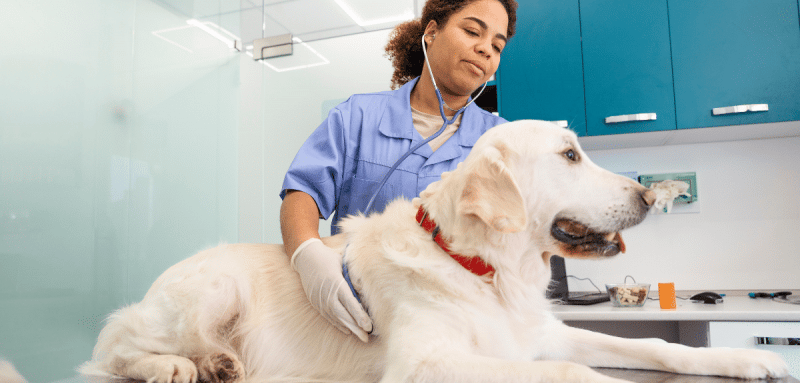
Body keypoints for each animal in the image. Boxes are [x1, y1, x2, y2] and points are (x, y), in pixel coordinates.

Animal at [79, 121, 788, 383]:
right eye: (569, 155)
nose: (647, 195)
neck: (482, 270)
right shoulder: (426, 361)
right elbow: (573, 374)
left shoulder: (543, 334)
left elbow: (656, 347)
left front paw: (743, 359)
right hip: (211, 288)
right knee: (112, 349)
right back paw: (178, 365)